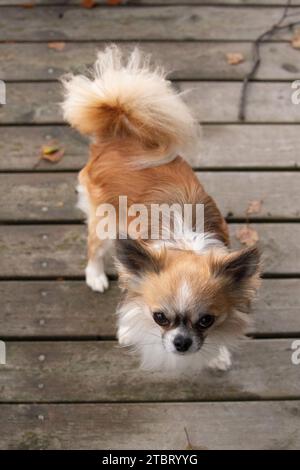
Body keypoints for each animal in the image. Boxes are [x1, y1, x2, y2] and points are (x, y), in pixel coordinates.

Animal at [62, 46, 262, 370]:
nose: (181, 342)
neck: (185, 245)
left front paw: (218, 354)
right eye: (160, 318)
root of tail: (117, 136)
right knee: (94, 248)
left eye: (206, 320)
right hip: (105, 223)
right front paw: (127, 331)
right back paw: (95, 276)